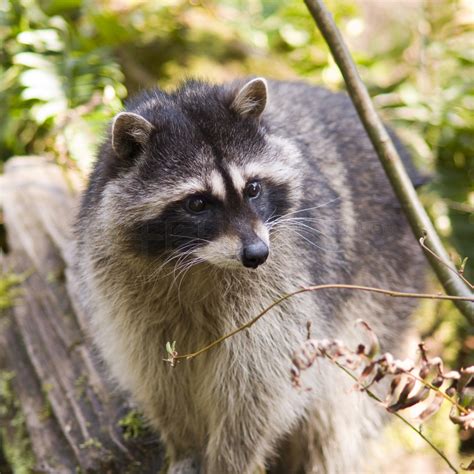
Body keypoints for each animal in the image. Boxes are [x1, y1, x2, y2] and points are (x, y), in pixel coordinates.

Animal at [75, 78, 426, 474]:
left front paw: (230, 459)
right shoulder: (125, 296)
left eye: (253, 188)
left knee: (335, 414)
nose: (257, 254)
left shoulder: (284, 289)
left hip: (382, 286)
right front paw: (184, 447)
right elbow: (161, 379)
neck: (199, 263)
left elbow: (256, 390)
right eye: (197, 203)